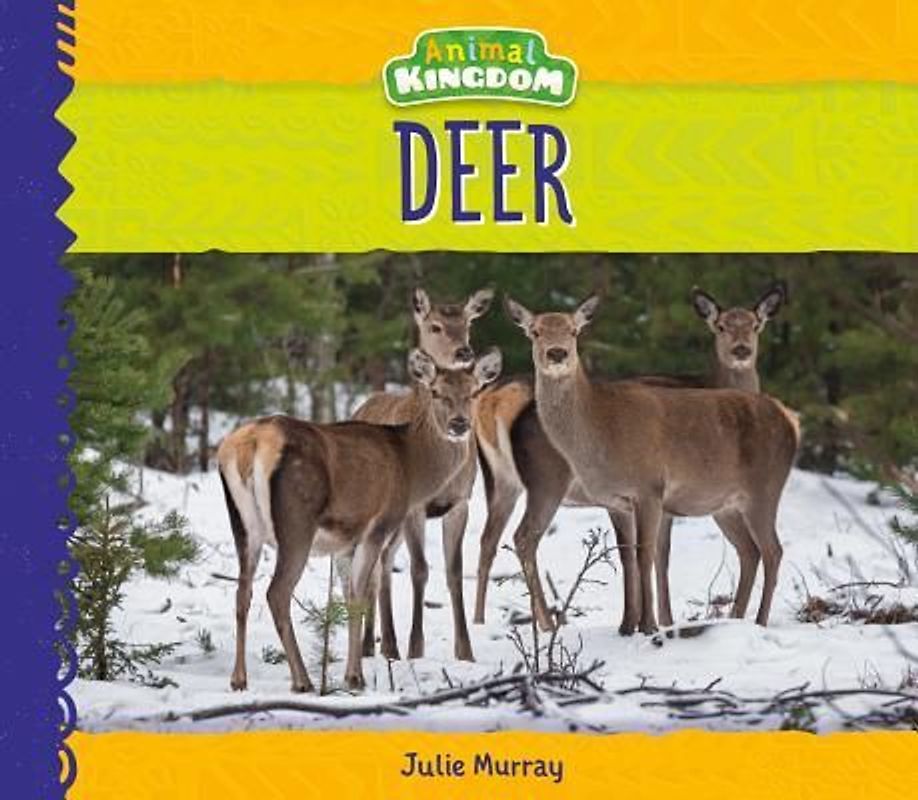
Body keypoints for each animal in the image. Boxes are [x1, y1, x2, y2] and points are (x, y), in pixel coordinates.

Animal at [217, 347, 502, 692]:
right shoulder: (378, 525)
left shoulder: (344, 540)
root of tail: (252, 444)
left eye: (474, 392)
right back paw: (303, 680)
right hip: (297, 523)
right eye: (436, 392)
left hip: (243, 525)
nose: (459, 424)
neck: (412, 467)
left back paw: (238, 679)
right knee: (277, 593)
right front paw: (355, 676)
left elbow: (349, 593)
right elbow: (358, 596)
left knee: (242, 592)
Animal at [351, 286, 493, 663]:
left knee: (384, 564)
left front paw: (465, 651)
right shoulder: (416, 508)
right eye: (435, 326)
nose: (464, 351)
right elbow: (419, 570)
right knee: (377, 568)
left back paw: (383, 643)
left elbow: (454, 572)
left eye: (468, 322)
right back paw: (377, 644)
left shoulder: (460, 502)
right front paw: (416, 647)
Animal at [473, 283, 787, 631]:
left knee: (766, 550)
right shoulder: (632, 497)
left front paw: (643, 624)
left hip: (753, 493)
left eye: (573, 330)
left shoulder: (647, 492)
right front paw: (641, 624)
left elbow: (644, 556)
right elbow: (641, 556)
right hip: (544, 482)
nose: (557, 353)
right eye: (535, 331)